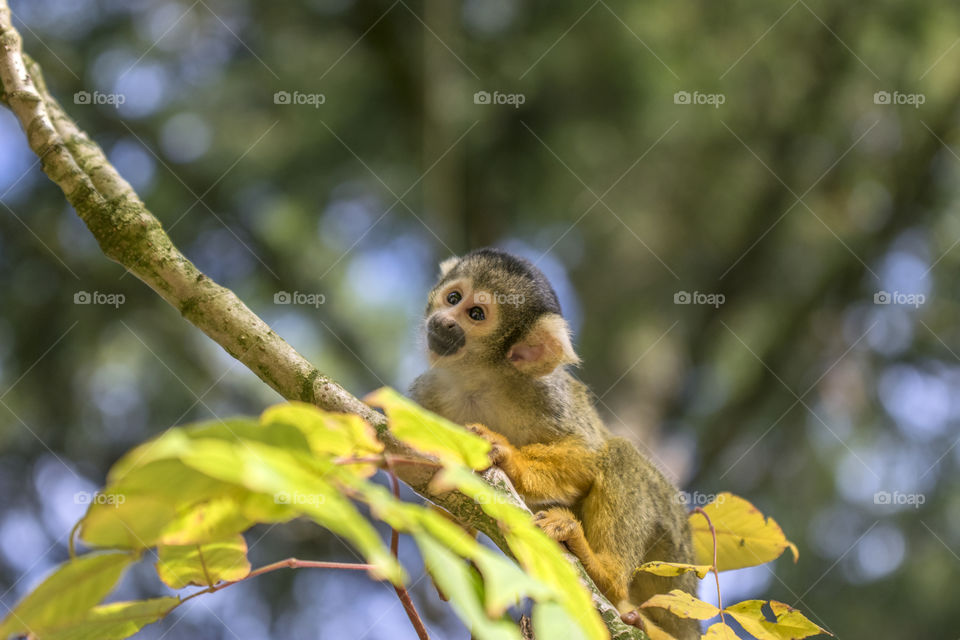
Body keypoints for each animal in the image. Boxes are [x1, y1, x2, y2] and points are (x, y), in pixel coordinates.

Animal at [409, 248, 699, 639]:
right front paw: (451, 534)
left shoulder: (546, 392)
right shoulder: (426, 397)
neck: (478, 381)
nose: (445, 321)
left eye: (476, 314)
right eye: (453, 297)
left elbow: (587, 453)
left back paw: (605, 574)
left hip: (675, 563)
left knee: (618, 454)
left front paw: (508, 457)